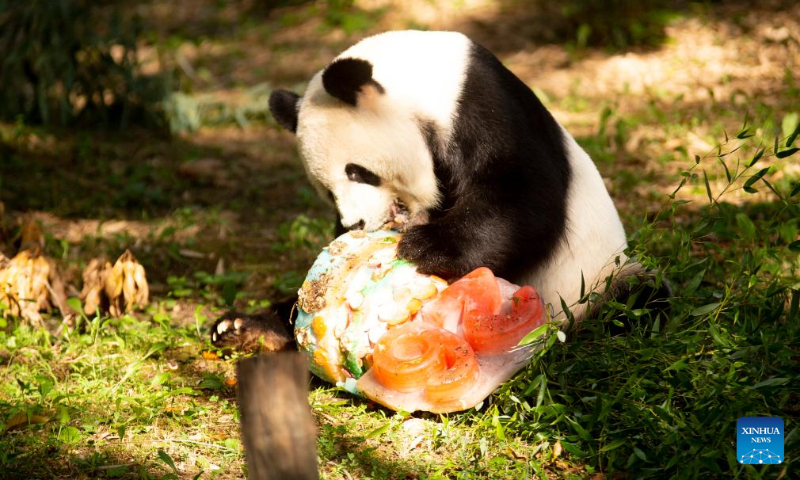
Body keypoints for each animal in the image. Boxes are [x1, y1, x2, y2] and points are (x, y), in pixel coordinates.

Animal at [211, 30, 664, 348]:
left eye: (358, 172)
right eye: (325, 190)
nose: (351, 224)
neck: (421, 79)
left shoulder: (484, 106)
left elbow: (522, 197)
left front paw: (426, 247)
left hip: (596, 281)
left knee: (639, 303)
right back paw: (244, 326)